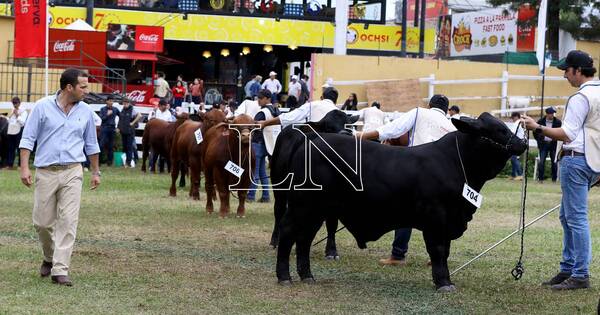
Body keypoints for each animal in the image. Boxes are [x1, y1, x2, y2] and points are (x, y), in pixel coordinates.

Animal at [270, 113, 528, 292]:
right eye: (499, 130)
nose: (524, 143)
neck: (457, 163)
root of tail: (312, 139)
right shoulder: (436, 218)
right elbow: (439, 250)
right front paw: (444, 282)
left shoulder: (448, 220)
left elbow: (444, 251)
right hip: (301, 206)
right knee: (288, 232)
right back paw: (284, 277)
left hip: (317, 210)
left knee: (304, 239)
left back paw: (307, 276)